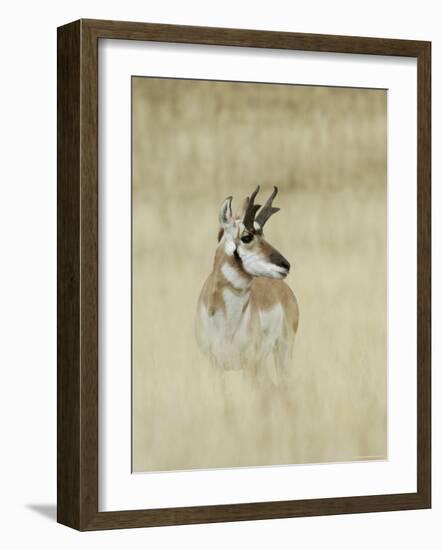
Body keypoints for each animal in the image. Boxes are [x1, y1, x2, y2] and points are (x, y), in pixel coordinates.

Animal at [195, 187, 298, 384]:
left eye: (263, 235)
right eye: (247, 237)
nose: (286, 265)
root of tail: (284, 290)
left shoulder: (250, 365)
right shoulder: (215, 366)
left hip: (282, 352)